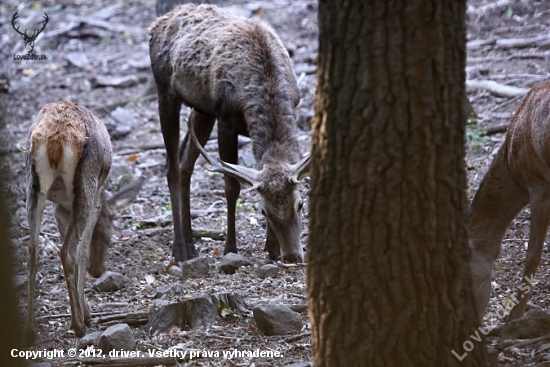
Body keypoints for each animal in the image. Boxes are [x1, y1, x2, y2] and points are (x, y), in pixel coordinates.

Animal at [25, 100, 142, 344]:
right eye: (108, 236)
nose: (99, 270)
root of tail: (56, 138)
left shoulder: (59, 208)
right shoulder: (96, 197)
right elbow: (83, 249)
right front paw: (87, 314)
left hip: (34, 187)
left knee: (33, 251)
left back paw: (30, 329)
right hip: (85, 187)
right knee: (67, 251)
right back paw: (78, 325)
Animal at [149, 4, 312, 266]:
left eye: (300, 203)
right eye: (263, 211)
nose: (293, 256)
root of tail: (157, 23)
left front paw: (272, 249)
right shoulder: (226, 120)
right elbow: (231, 186)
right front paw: (230, 249)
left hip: (202, 110)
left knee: (185, 164)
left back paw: (191, 244)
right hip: (166, 92)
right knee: (171, 167)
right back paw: (180, 249)